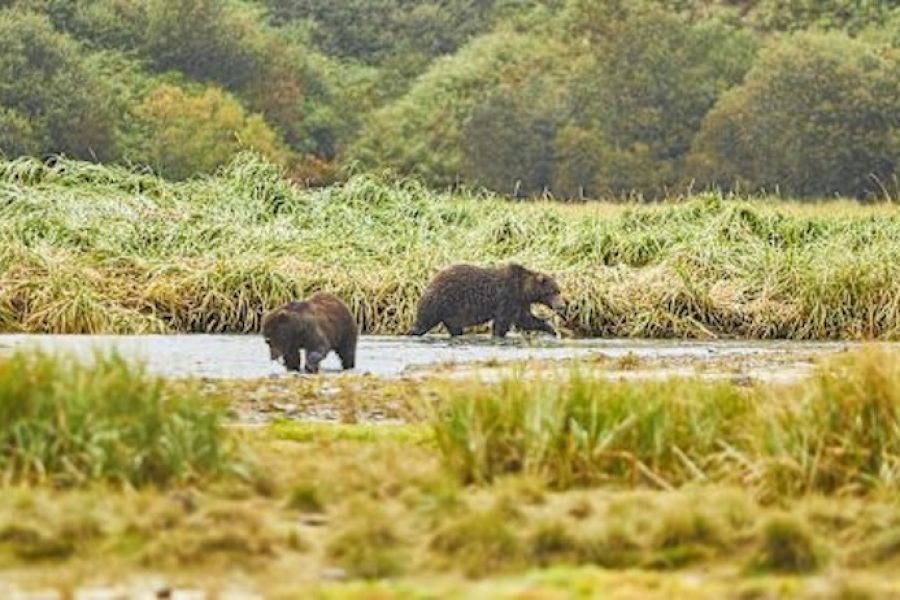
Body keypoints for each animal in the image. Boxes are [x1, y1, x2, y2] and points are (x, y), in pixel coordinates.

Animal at [408, 262, 564, 338]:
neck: (523, 290)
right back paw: (412, 332)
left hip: (450, 313)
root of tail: (431, 281)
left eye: (559, 290)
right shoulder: (507, 297)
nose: (562, 305)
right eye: (553, 291)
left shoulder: (520, 302)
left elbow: (525, 319)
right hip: (441, 301)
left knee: (454, 327)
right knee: (423, 321)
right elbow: (504, 321)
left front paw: (552, 330)